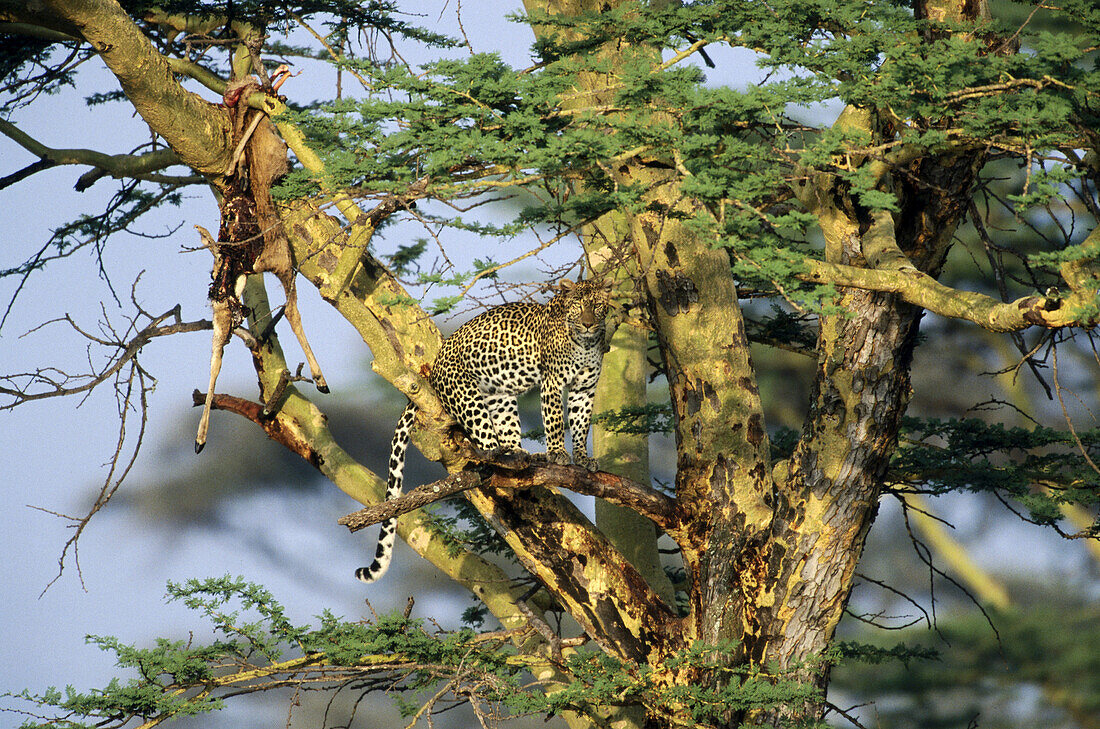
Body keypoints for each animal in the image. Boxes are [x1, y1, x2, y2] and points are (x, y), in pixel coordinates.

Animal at [356, 277, 616, 584]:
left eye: (597, 306)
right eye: (577, 305)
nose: (588, 324)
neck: (585, 343)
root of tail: (434, 367)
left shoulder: (585, 388)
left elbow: (581, 423)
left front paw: (582, 457)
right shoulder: (552, 381)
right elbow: (554, 420)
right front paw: (557, 454)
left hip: (499, 397)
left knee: (506, 434)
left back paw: (522, 455)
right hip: (469, 399)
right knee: (486, 449)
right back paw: (503, 458)